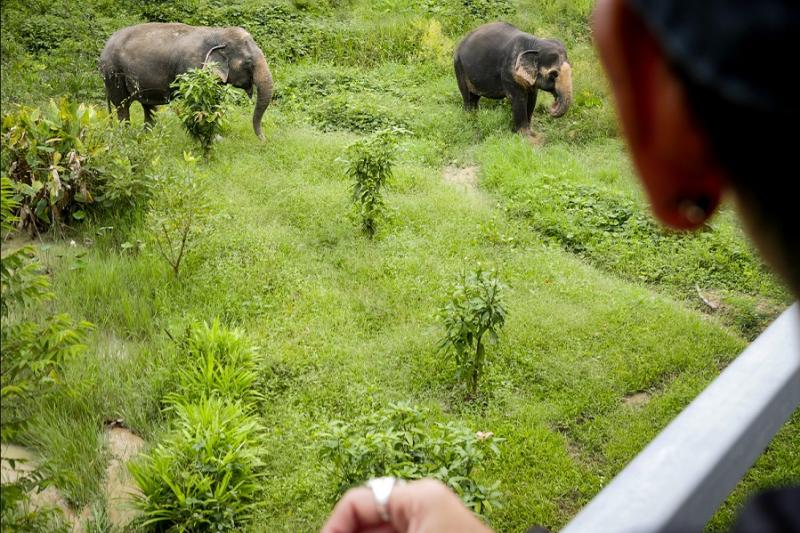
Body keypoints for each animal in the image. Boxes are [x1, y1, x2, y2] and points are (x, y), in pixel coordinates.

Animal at [98, 22, 274, 139]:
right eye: (248, 63)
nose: (264, 140)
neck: (218, 34)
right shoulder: (192, 68)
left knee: (148, 106)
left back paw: (149, 137)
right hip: (113, 73)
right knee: (122, 106)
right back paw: (126, 135)